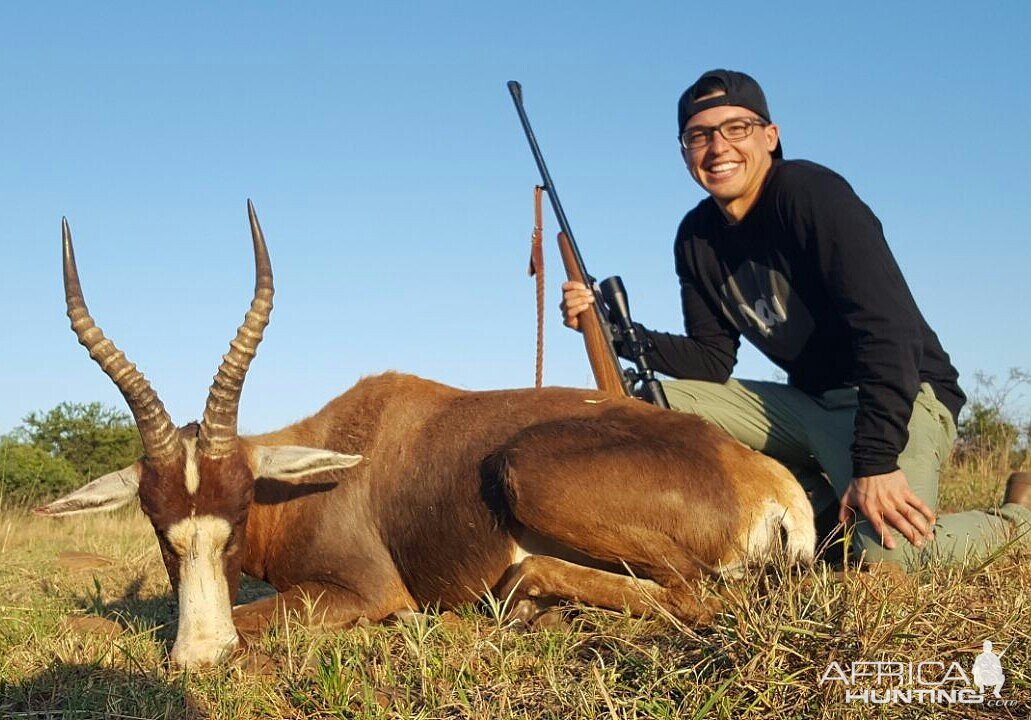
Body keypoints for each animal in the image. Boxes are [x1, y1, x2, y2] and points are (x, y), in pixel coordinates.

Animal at [38, 200, 812, 660]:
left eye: (238, 511)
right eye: (156, 522)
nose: (201, 657)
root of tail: (766, 482)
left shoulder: (363, 590)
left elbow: (260, 616)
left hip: (527, 475)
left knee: (690, 596)